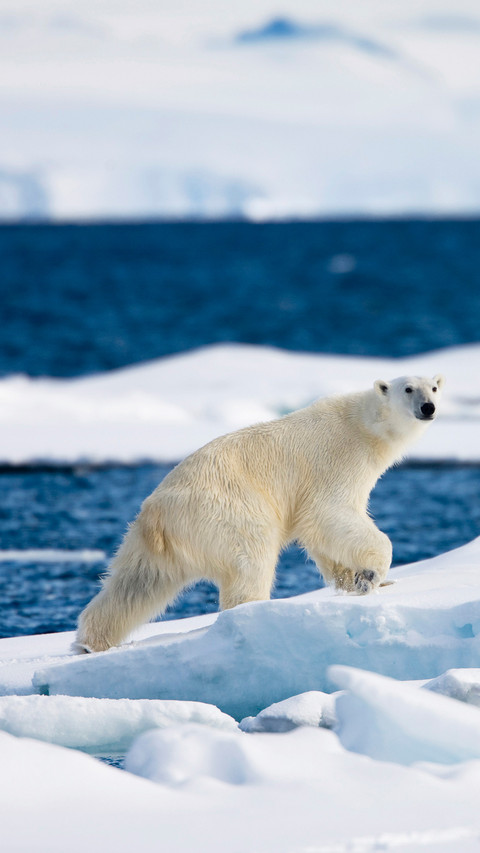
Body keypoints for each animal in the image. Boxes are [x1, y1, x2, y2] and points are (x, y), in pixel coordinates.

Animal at [77, 373, 444, 652]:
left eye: (434, 387)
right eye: (408, 388)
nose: (428, 407)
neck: (364, 424)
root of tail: (158, 515)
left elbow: (321, 535)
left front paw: (353, 579)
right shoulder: (338, 461)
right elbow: (329, 514)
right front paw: (372, 574)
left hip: (150, 541)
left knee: (135, 584)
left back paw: (90, 641)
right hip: (229, 512)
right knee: (251, 559)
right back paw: (254, 610)